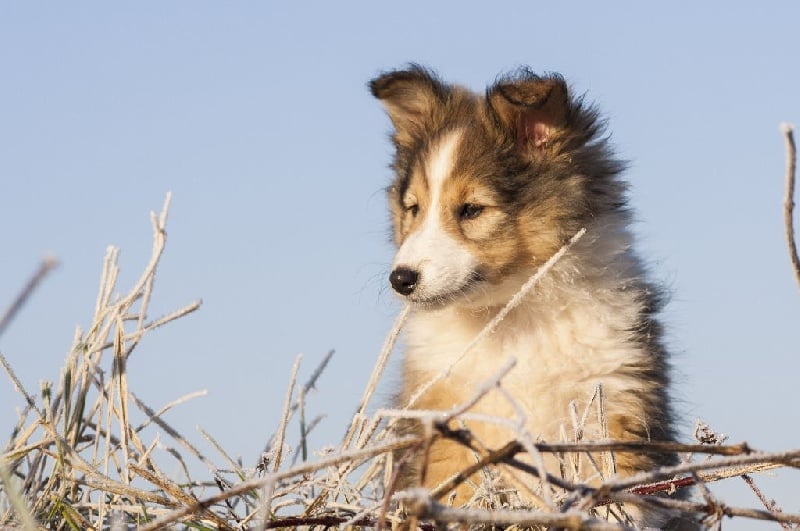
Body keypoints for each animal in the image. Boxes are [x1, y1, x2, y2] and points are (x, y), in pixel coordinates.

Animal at [372, 65, 696, 528]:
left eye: (472, 209)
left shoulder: (617, 400)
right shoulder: (447, 423)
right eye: (413, 207)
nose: (401, 278)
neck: (514, 314)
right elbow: (454, 491)